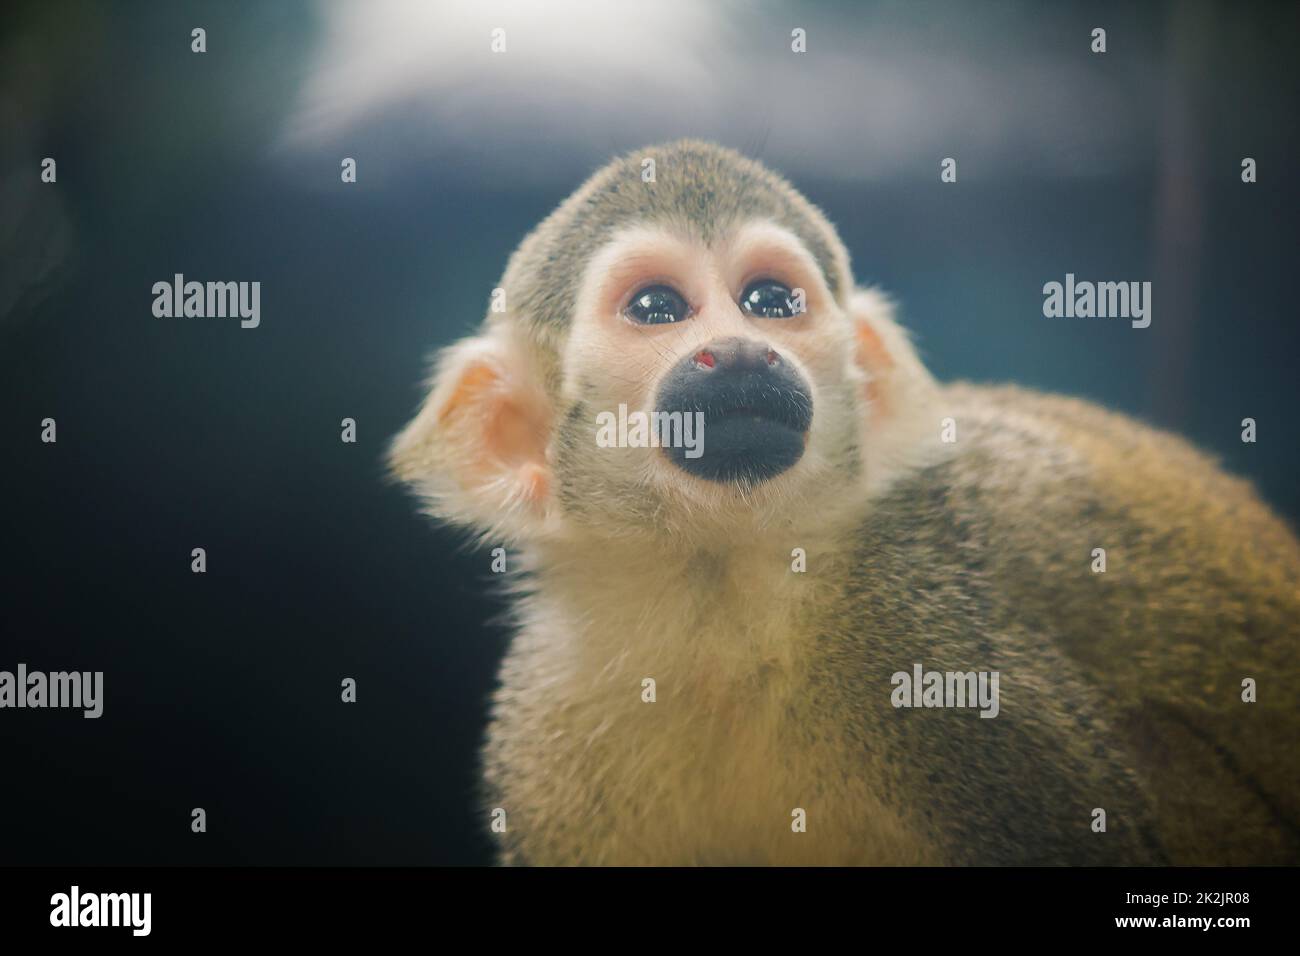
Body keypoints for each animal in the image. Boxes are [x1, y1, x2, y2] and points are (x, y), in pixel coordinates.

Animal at [390, 140, 1300, 868]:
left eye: (770, 303)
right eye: (657, 309)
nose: (742, 352)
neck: (717, 597)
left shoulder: (931, 646)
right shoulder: (548, 735)